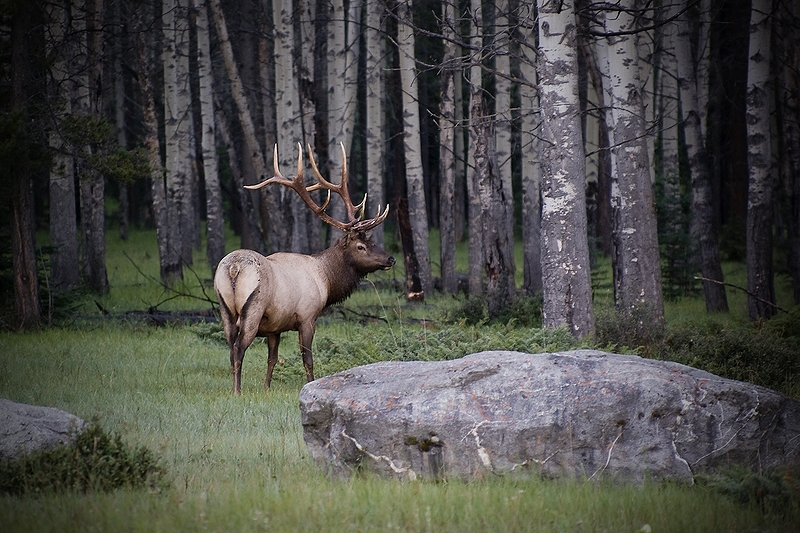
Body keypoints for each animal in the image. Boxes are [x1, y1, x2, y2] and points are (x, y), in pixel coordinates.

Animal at [214, 143, 396, 392]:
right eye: (361, 246)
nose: (390, 259)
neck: (326, 281)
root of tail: (233, 268)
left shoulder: (275, 327)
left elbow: (272, 359)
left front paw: (266, 389)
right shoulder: (307, 316)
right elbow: (307, 358)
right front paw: (310, 385)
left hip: (224, 307)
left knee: (231, 349)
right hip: (253, 308)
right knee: (239, 349)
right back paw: (237, 392)